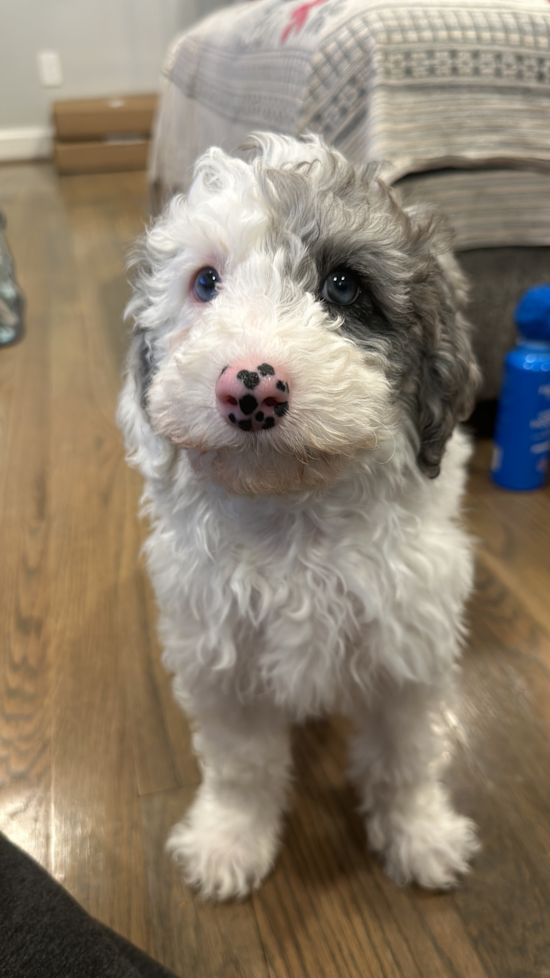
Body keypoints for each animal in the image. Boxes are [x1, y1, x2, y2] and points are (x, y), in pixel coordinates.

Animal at [118, 133, 480, 896]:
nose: (249, 387)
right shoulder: (223, 662)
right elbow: (241, 766)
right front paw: (230, 838)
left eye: (343, 286)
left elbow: (405, 757)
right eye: (205, 283)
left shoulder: (408, 651)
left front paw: (420, 833)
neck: (295, 518)